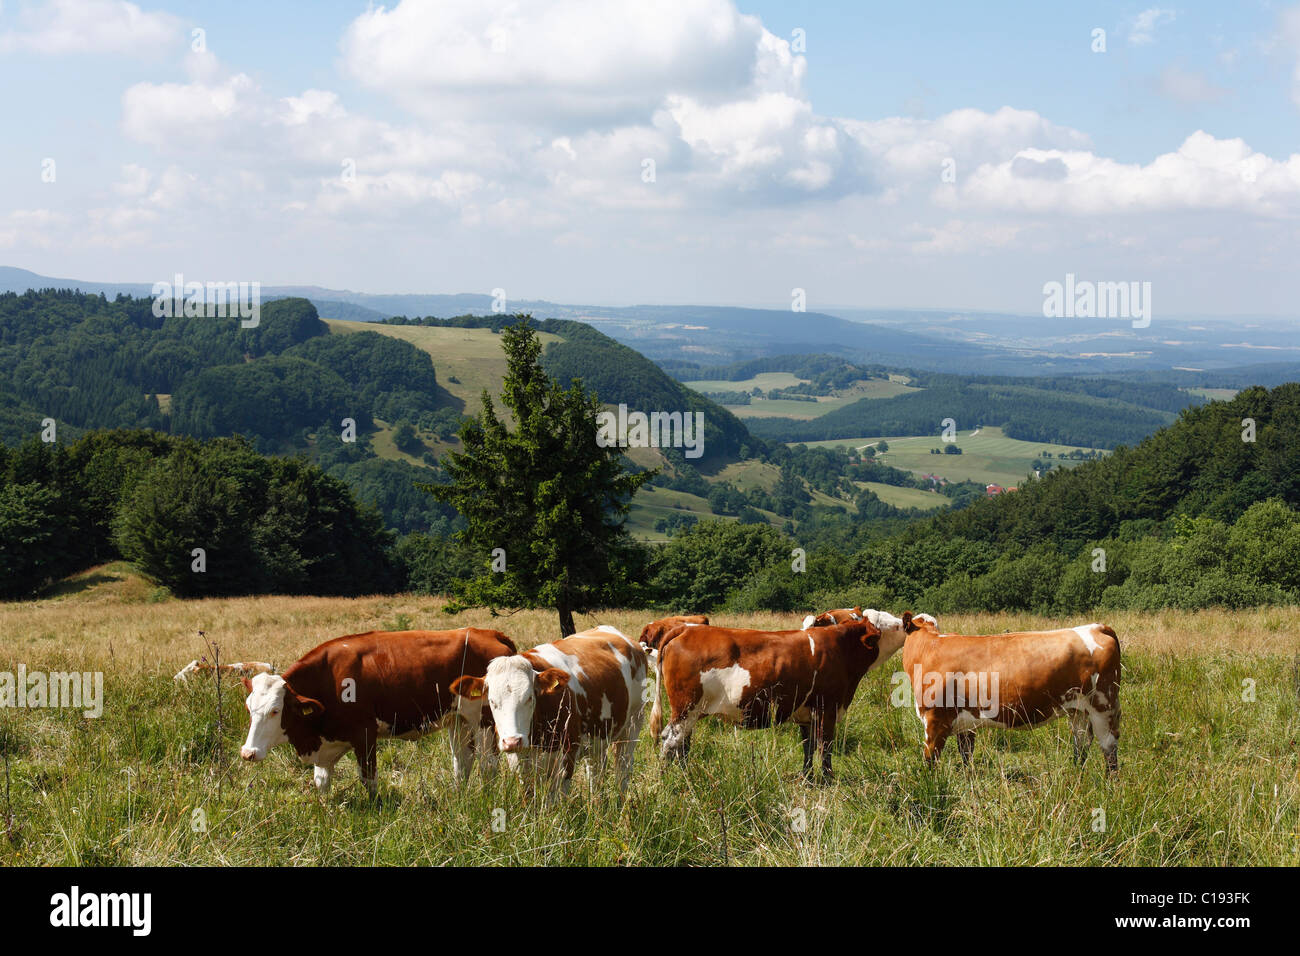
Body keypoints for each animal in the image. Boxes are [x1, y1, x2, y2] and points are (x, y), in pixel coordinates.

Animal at [236, 629, 514, 790]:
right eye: (249, 708)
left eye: (275, 710)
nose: (248, 753)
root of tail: (486, 632)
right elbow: (321, 781)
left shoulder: (365, 734)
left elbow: (368, 780)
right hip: (459, 720)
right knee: (463, 762)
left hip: (484, 720)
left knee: (488, 764)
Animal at [449, 629, 647, 801]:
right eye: (491, 701)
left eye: (529, 697)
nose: (512, 741)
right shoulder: (518, 760)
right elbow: (528, 795)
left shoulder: (567, 755)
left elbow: (555, 799)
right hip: (598, 738)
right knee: (596, 770)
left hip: (633, 724)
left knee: (623, 768)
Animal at [650, 621, 883, 785]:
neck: (841, 647)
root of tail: (685, 628)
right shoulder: (828, 709)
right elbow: (825, 747)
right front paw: (828, 781)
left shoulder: (807, 714)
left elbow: (808, 746)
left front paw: (807, 780)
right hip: (685, 708)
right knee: (671, 740)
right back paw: (669, 778)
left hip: (690, 712)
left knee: (681, 743)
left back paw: (684, 773)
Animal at [899, 613, 1123, 780]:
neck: (929, 648)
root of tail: (1097, 626)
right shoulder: (965, 723)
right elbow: (966, 755)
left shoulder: (934, 720)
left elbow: (930, 759)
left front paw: (929, 785)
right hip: (1078, 711)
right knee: (1082, 743)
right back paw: (1076, 776)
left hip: (1103, 706)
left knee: (1109, 748)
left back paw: (1110, 784)